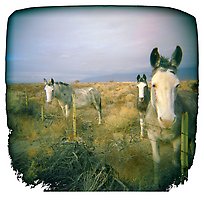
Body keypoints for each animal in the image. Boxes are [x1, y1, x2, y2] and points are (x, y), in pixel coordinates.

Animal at [144, 45, 198, 188]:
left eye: (177, 85)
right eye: (153, 84)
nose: (167, 121)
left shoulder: (177, 139)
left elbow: (175, 162)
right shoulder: (152, 137)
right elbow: (156, 160)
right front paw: (156, 184)